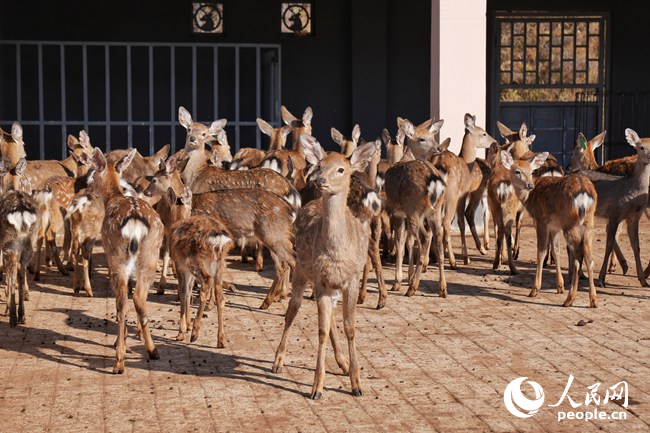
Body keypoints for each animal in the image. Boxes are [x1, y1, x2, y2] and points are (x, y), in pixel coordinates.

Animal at [90, 147, 164, 374]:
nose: (89, 189)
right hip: (147, 254)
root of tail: (134, 221)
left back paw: (124, 359)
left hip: (117, 255)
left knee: (124, 299)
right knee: (137, 296)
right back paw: (143, 352)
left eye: (93, 174)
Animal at [166, 186, 233, 346]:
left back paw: (195, 333)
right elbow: (189, 291)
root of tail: (218, 237)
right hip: (219, 263)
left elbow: (183, 292)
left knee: (207, 282)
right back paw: (221, 339)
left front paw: (182, 331)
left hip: (196, 261)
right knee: (220, 295)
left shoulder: (180, 264)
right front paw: (187, 324)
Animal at [272, 135, 377, 399]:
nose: (320, 181)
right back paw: (278, 360)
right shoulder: (320, 279)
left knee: (330, 321)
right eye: (319, 165)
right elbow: (320, 330)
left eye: (341, 169)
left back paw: (343, 363)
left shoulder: (350, 278)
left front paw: (356, 383)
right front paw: (317, 387)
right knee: (292, 310)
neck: (337, 252)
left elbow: (349, 327)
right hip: (301, 269)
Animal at [500, 150, 598, 307]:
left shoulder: (541, 220)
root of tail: (584, 193)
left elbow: (541, 252)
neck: (530, 198)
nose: (529, 185)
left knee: (578, 254)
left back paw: (570, 299)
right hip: (589, 222)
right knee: (589, 256)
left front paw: (535, 289)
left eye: (531, 171)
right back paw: (593, 300)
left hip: (569, 222)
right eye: (517, 171)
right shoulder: (554, 226)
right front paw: (560, 286)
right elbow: (555, 250)